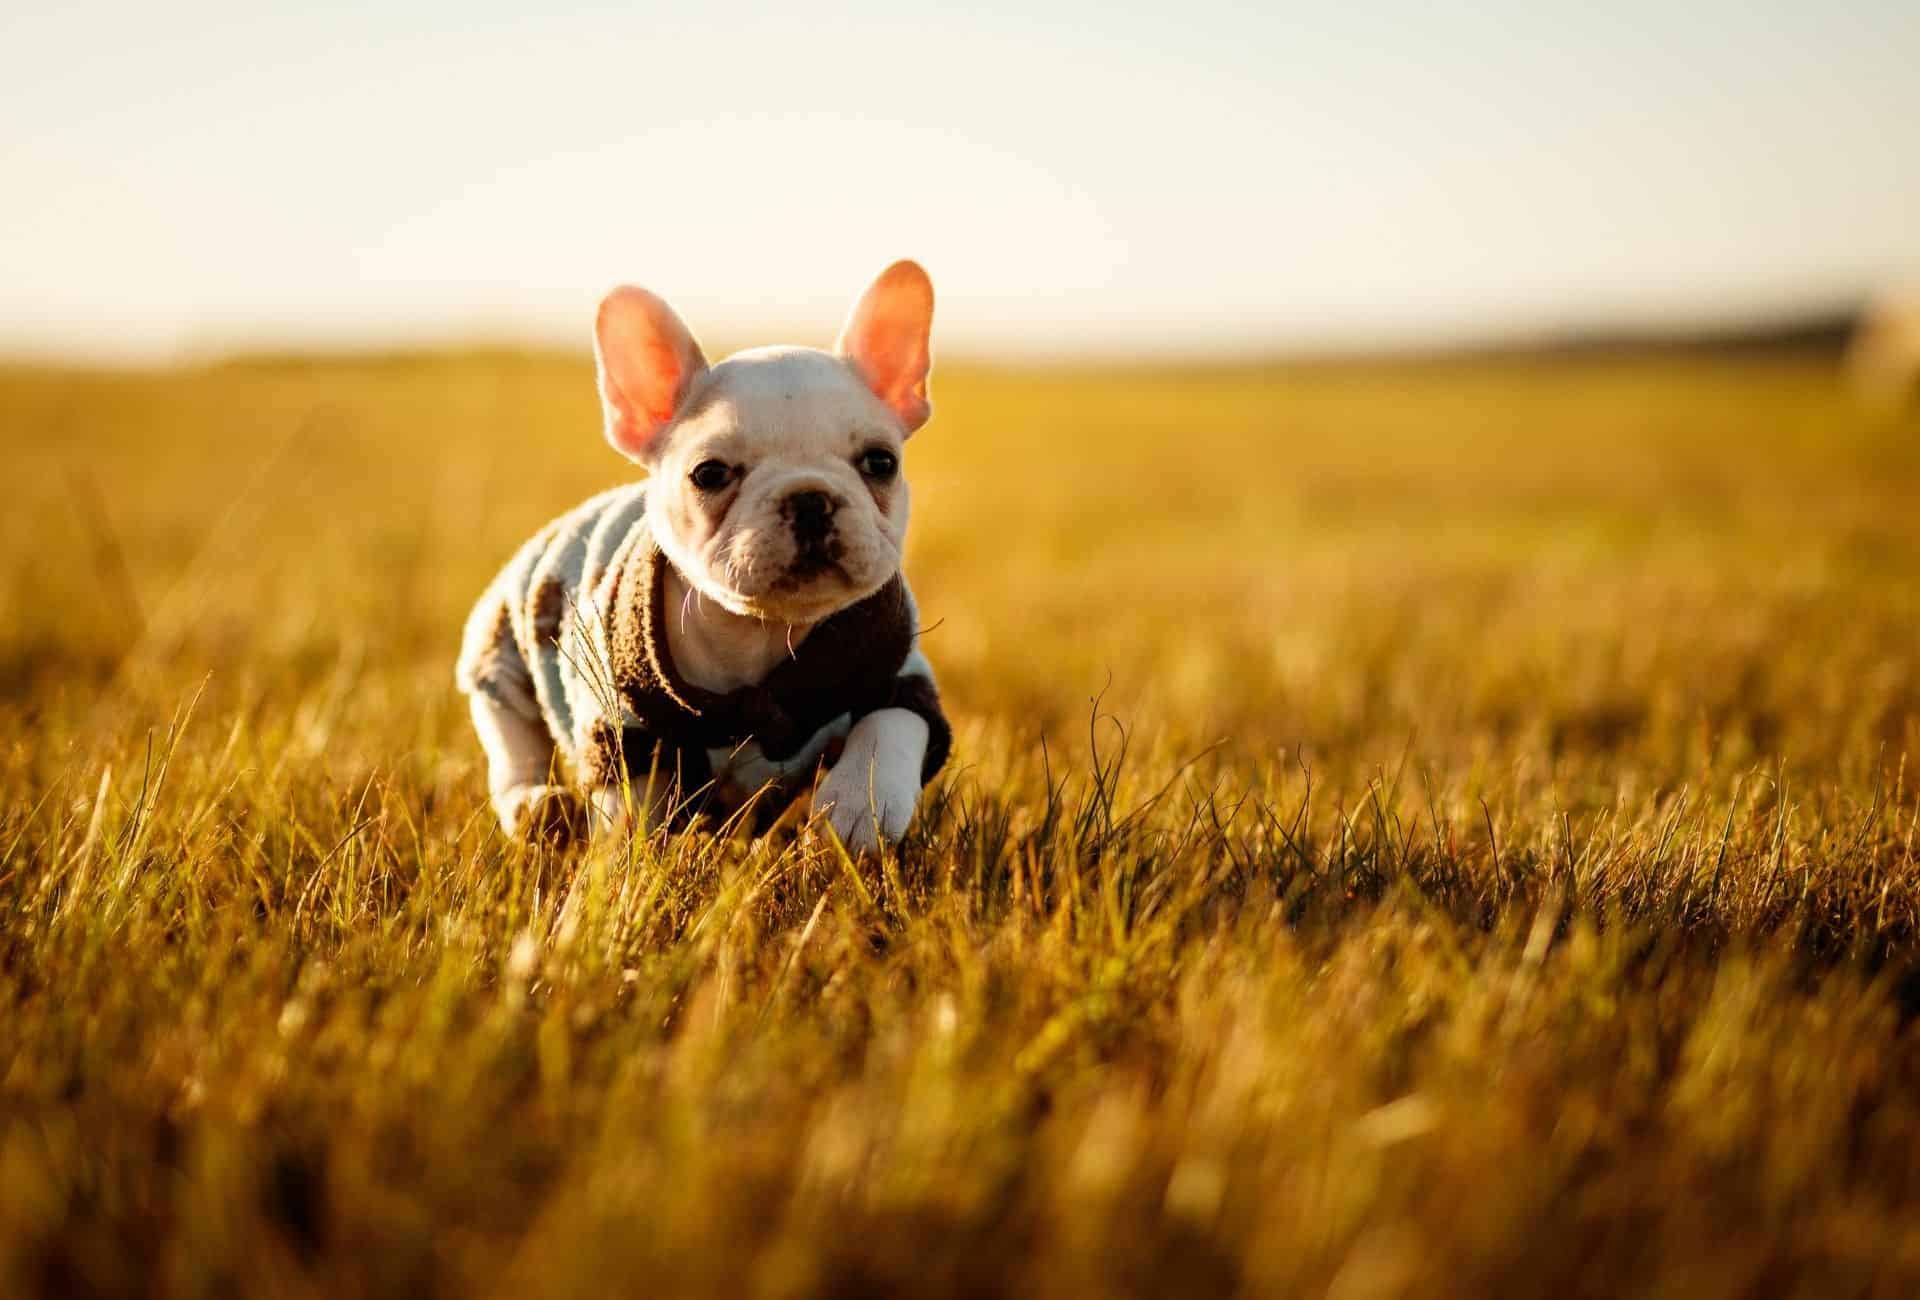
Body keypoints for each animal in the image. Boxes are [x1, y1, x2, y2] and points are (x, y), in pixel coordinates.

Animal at [456, 261, 952, 852]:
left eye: (881, 462)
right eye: (709, 473)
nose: (809, 497)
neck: (763, 632)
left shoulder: (898, 674)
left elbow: (890, 723)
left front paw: (861, 803)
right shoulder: (626, 727)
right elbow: (630, 803)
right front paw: (630, 859)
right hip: (500, 655)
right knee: (514, 743)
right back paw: (535, 806)